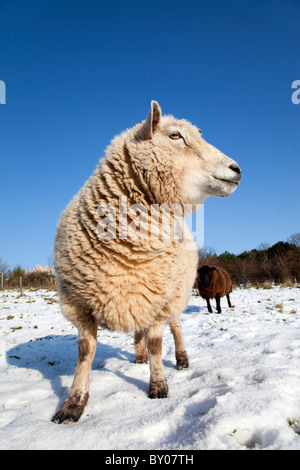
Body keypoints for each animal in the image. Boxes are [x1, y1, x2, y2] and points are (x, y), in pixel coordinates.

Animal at [52, 101, 241, 424]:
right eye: (175, 136)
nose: (237, 169)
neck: (129, 250)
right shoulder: (78, 304)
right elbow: (86, 351)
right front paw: (73, 404)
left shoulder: (161, 300)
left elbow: (157, 343)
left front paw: (158, 385)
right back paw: (139, 356)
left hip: (177, 293)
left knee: (176, 328)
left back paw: (181, 359)